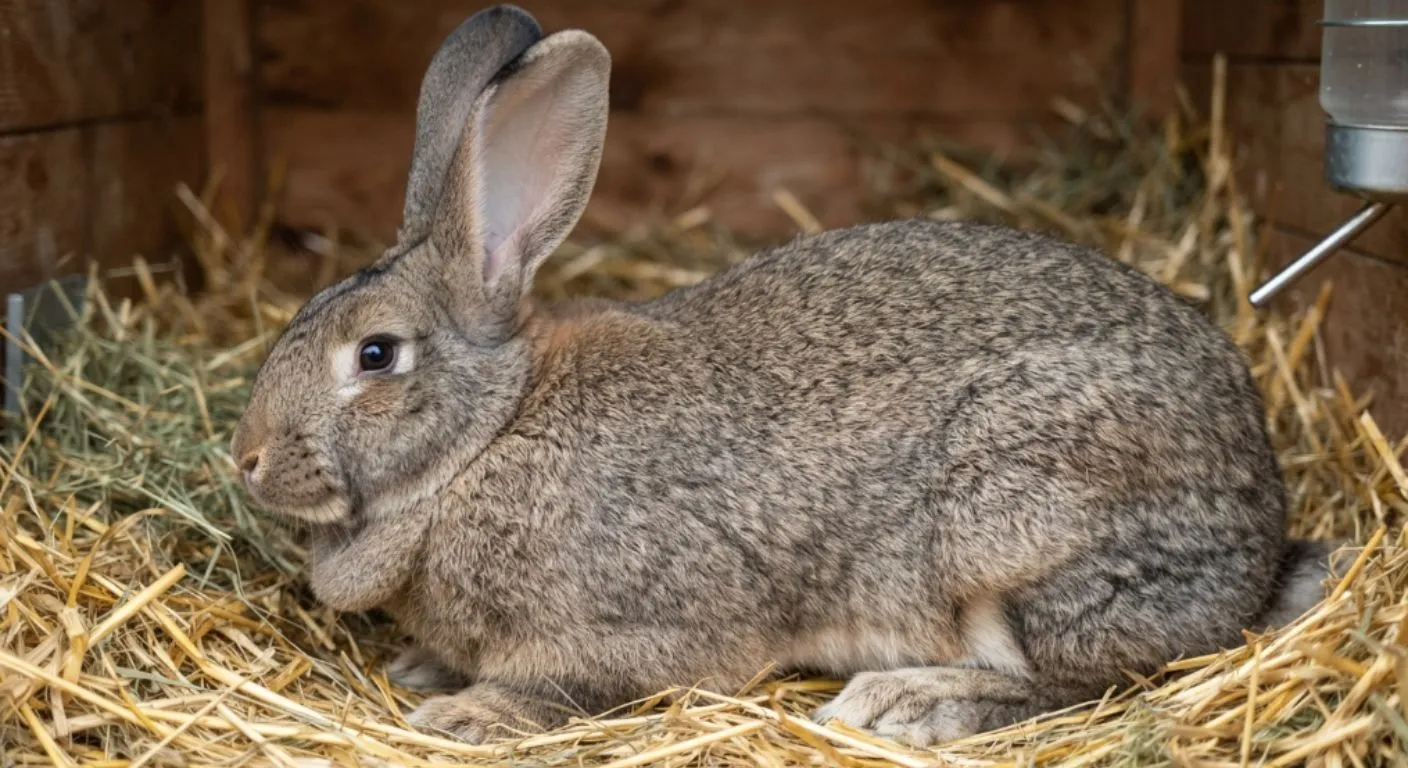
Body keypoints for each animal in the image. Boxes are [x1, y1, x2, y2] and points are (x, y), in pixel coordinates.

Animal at [230, 3, 1333, 747]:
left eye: (376, 355)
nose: (244, 459)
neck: (486, 437)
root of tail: (1259, 534)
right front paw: (422, 665)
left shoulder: (627, 631)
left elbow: (564, 689)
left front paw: (462, 714)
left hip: (1016, 528)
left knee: (1096, 678)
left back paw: (911, 702)